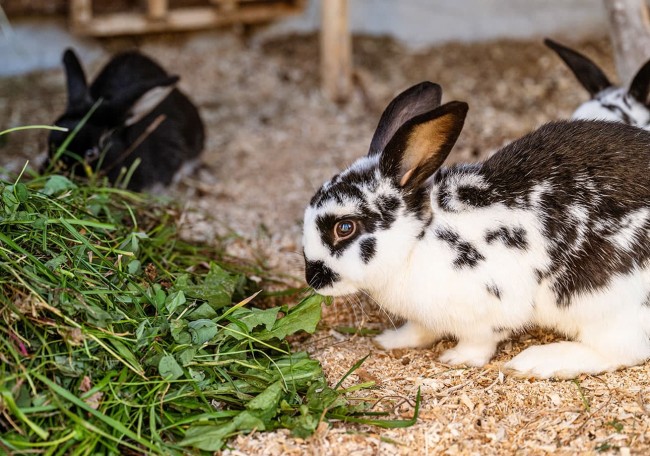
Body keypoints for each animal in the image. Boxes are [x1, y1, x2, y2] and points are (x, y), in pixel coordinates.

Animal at [302, 81, 650, 379]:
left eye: (345, 227)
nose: (312, 279)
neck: (417, 241)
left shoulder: (490, 309)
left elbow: (479, 342)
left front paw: (456, 358)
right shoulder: (424, 317)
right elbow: (419, 330)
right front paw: (390, 340)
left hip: (604, 307)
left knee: (621, 351)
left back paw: (538, 361)